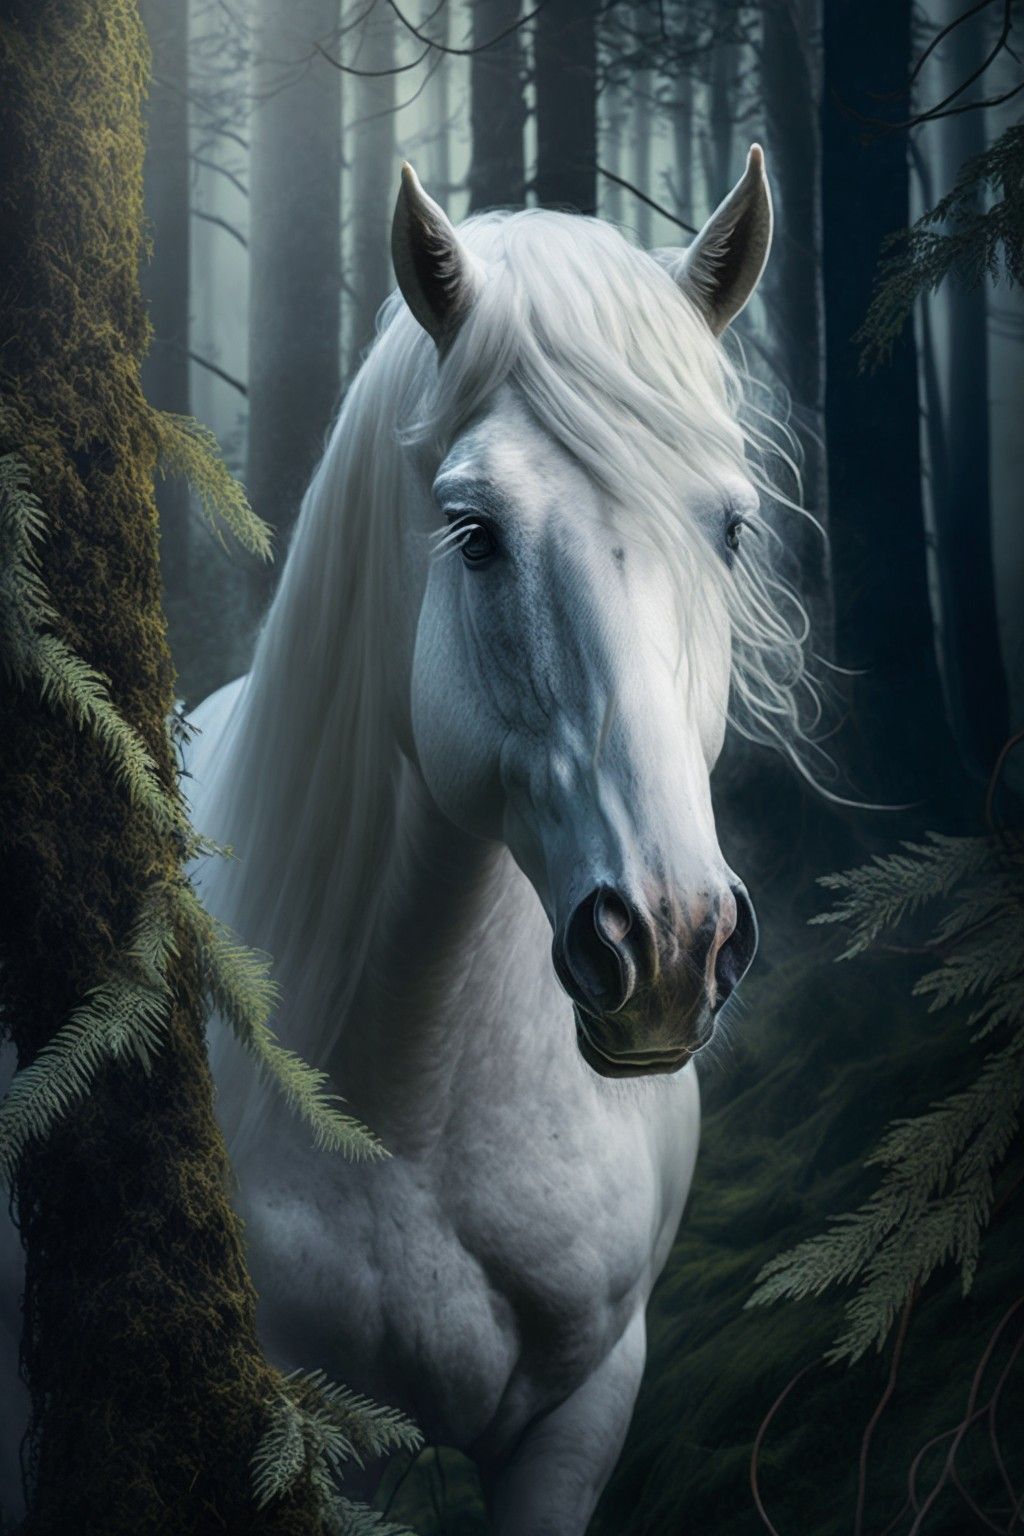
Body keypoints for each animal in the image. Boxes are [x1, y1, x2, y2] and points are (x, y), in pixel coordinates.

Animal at [1, 147, 820, 1532]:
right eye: (474, 532)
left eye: (731, 529)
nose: (666, 944)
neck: (431, 1103)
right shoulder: (320, 1441)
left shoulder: (582, 1411)